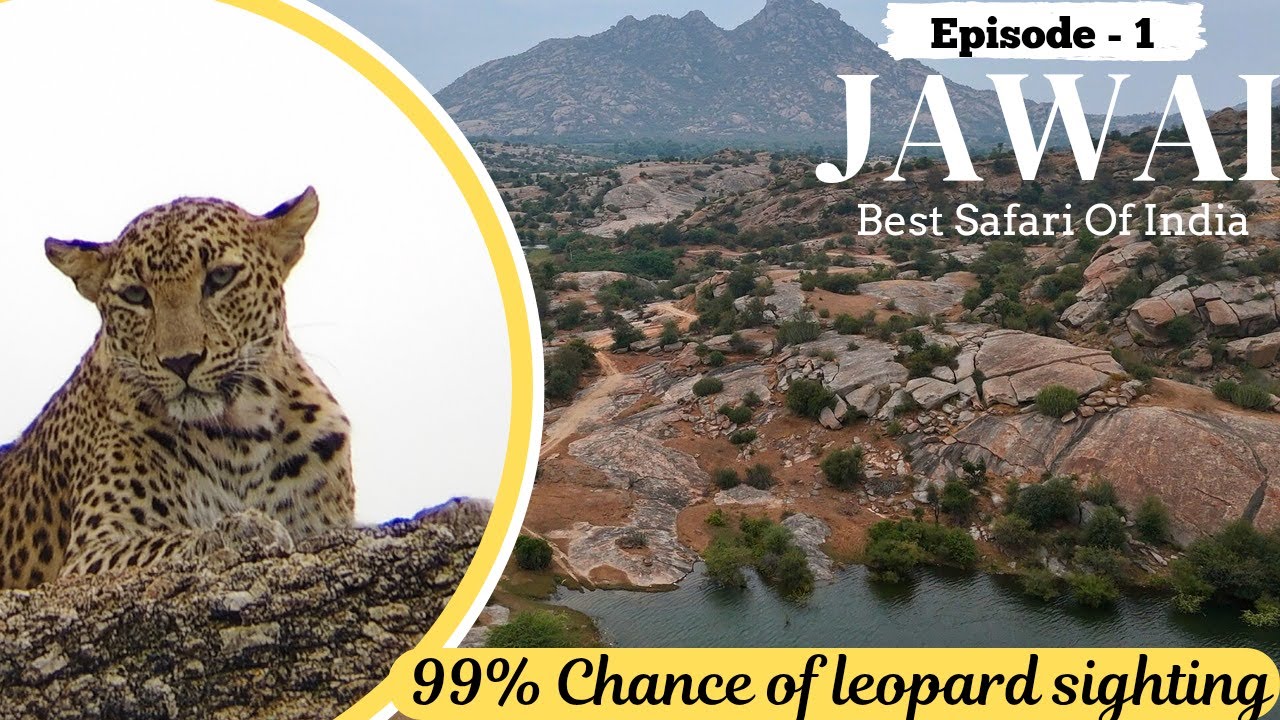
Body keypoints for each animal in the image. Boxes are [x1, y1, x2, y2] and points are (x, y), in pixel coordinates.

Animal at [0, 187, 355, 589]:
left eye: (220, 277)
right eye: (135, 295)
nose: (181, 362)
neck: (241, 440)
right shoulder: (89, 554)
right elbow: (172, 542)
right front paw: (243, 529)